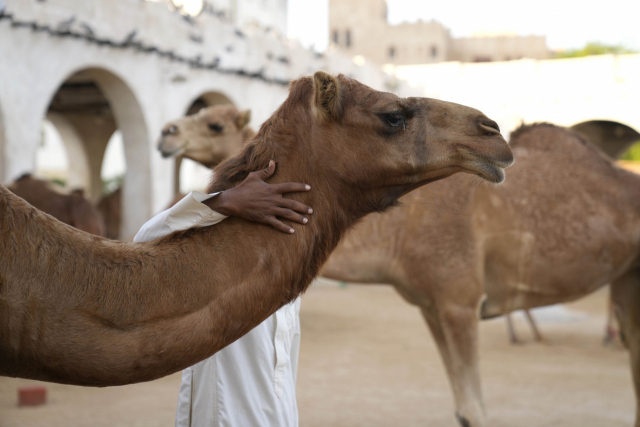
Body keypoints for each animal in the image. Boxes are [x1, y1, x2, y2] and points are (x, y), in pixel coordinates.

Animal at [158, 113, 640, 427]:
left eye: (215, 124)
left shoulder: (459, 300)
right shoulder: (429, 304)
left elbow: (475, 411)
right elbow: (463, 410)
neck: (399, 229)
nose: (165, 133)